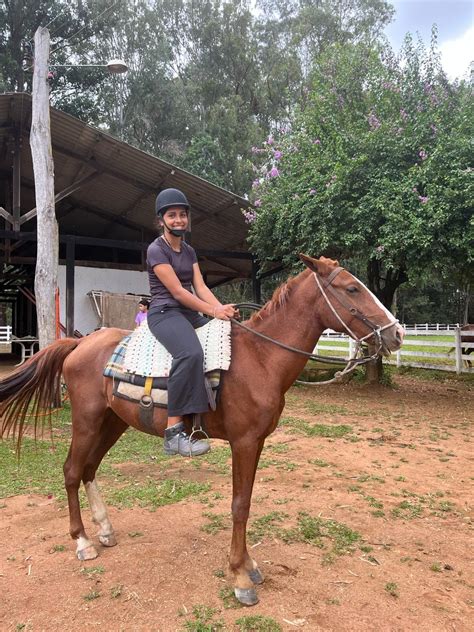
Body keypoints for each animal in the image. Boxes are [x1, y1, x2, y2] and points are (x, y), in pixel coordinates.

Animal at [0, 254, 404, 604]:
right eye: (352, 288)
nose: (397, 333)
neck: (259, 359)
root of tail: (79, 343)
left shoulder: (256, 443)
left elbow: (247, 501)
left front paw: (248, 566)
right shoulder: (244, 442)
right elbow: (240, 505)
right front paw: (240, 575)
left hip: (113, 423)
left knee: (88, 469)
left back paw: (104, 530)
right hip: (86, 421)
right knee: (71, 471)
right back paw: (83, 542)